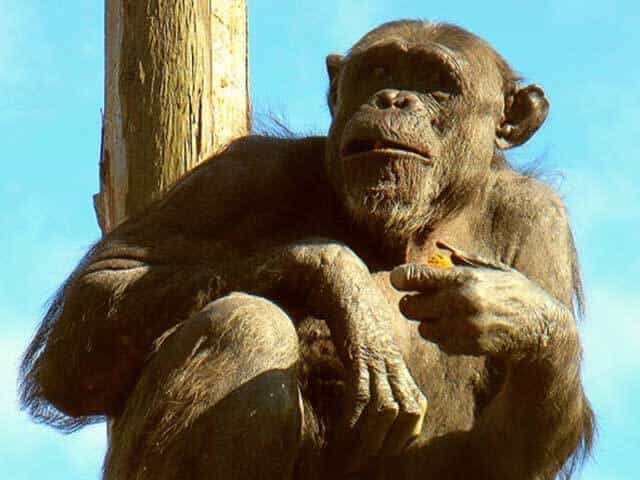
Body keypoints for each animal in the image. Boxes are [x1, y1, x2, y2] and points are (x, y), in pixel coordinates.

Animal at [20, 20, 593, 479]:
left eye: (437, 85)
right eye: (379, 69)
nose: (393, 99)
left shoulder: (542, 220)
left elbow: (503, 454)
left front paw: (516, 311)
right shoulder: (246, 170)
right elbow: (95, 306)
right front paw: (340, 279)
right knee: (244, 324)